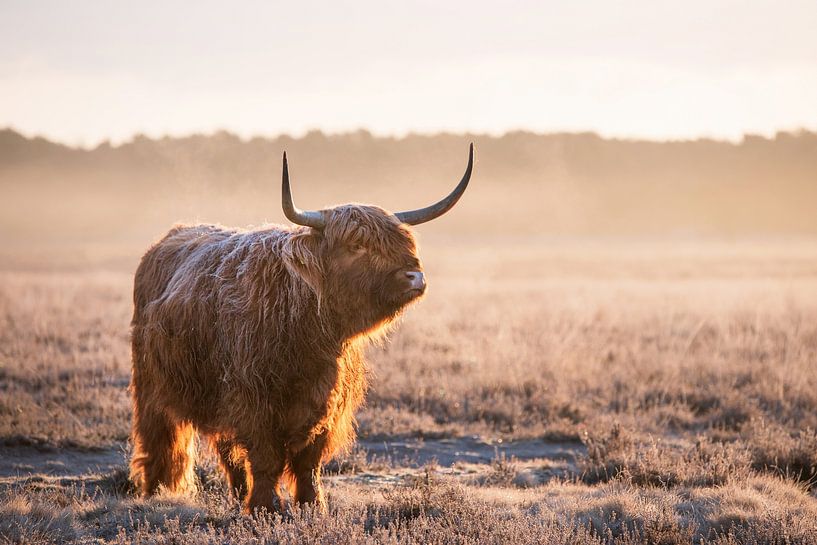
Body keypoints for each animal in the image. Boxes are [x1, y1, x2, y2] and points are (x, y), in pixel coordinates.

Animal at [127, 143, 472, 510]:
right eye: (357, 245)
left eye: (405, 242)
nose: (415, 277)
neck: (307, 332)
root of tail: (172, 236)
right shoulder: (252, 397)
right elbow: (266, 457)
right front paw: (264, 507)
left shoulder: (325, 398)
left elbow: (309, 461)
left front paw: (312, 505)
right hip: (151, 383)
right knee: (160, 439)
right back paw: (155, 492)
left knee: (227, 449)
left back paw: (237, 495)